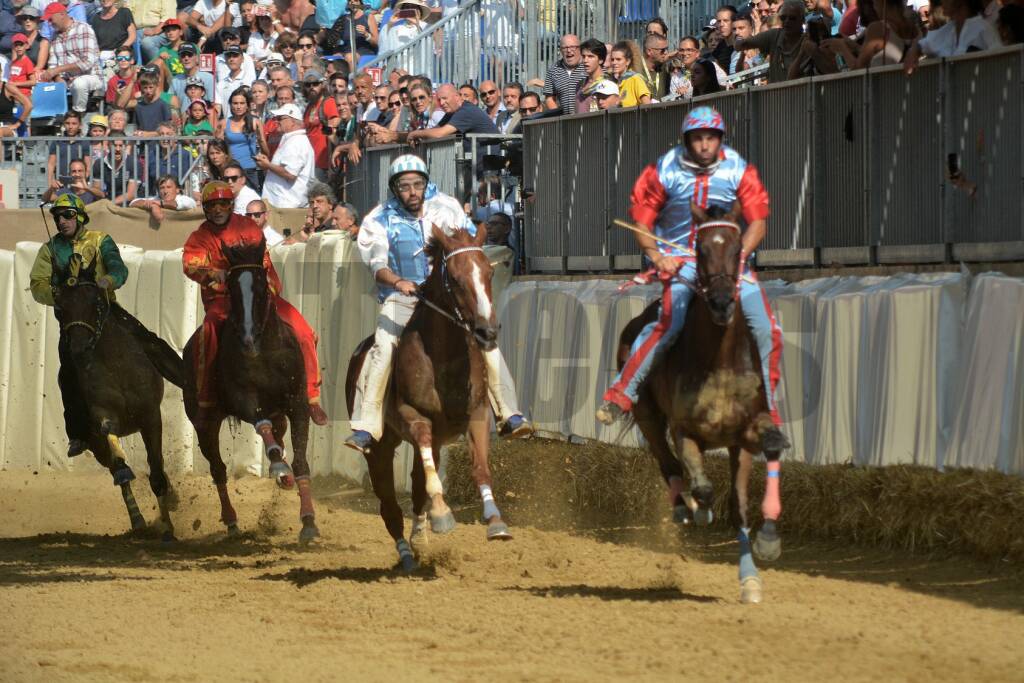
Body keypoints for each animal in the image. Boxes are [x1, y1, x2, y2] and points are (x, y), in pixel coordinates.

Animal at [51, 254, 185, 540]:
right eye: (59, 307)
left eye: (96, 302)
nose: (78, 348)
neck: (117, 365)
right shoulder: (103, 416)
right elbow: (110, 436)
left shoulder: (151, 417)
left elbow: (157, 473)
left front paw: (168, 527)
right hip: (94, 444)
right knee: (117, 472)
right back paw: (137, 518)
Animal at [183, 240, 319, 544]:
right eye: (232, 287)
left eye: (260, 285)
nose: (248, 337)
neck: (265, 352)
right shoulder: (244, 399)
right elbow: (261, 424)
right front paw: (278, 467)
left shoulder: (298, 405)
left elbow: (301, 462)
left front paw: (308, 522)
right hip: (205, 424)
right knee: (218, 468)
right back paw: (232, 520)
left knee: (278, 437)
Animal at [614, 202, 790, 602]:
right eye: (700, 248)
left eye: (738, 249)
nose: (722, 301)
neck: (720, 361)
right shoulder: (685, 431)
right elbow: (703, 486)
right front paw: (700, 508)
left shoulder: (745, 435)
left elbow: (740, 505)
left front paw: (759, 560)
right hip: (647, 415)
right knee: (667, 464)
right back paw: (684, 507)